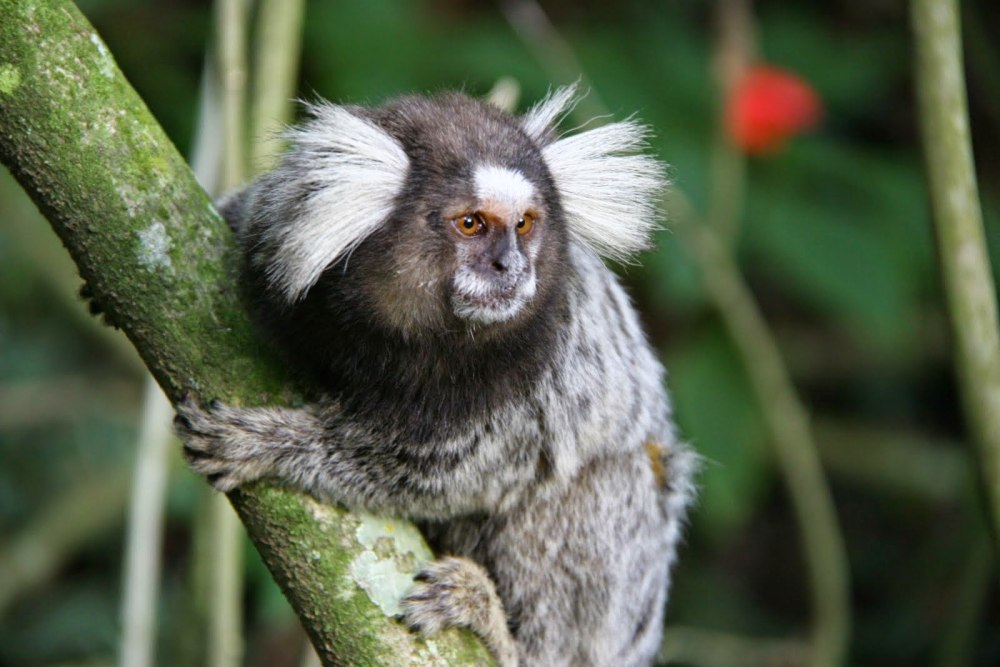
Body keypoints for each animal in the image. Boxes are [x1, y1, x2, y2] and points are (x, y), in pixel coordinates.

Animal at [174, 83, 697, 667]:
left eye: (524, 224)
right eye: (471, 223)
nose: (512, 268)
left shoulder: (540, 367)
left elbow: (442, 475)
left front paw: (269, 443)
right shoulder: (273, 231)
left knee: (597, 487)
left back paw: (498, 627)